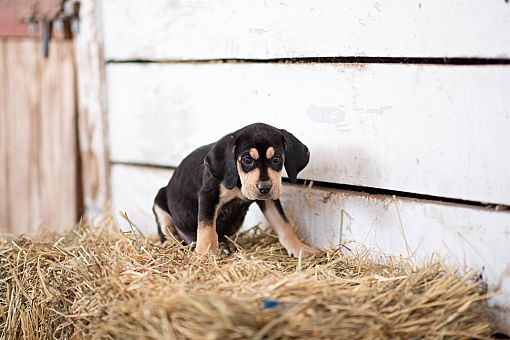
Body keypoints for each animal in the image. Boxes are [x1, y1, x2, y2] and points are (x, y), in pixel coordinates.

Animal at [153, 123, 316, 258]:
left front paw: (298, 248)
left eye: (276, 159)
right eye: (246, 160)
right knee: (166, 230)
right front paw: (205, 254)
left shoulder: (269, 200)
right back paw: (169, 244)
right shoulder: (208, 196)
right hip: (159, 202)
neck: (238, 184)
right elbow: (207, 228)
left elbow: (283, 223)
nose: (264, 188)